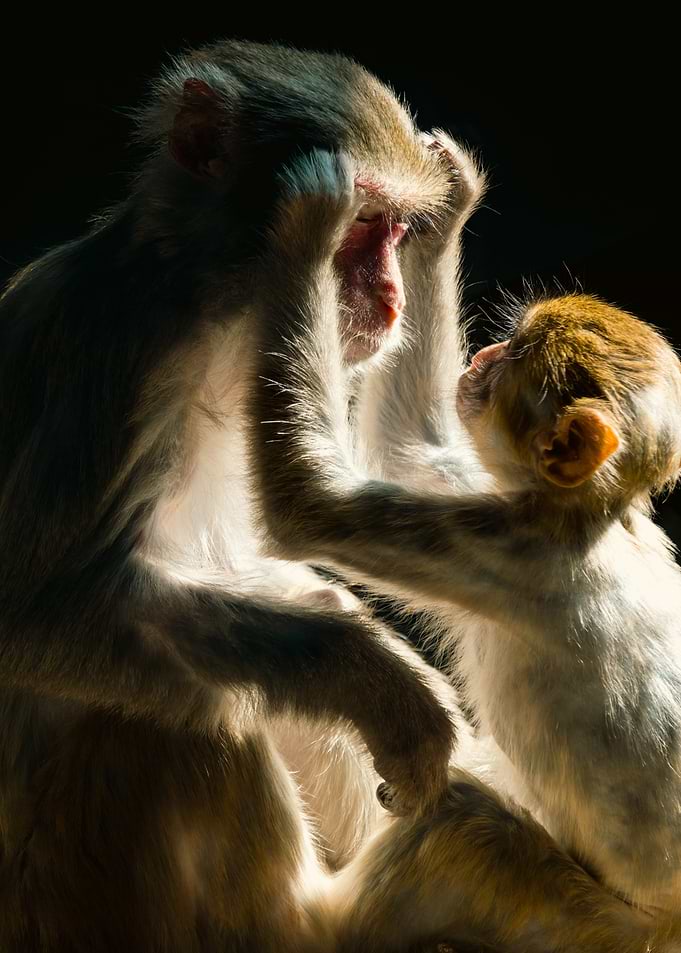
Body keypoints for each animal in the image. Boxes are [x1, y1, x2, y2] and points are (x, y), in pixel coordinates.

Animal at [249, 144, 681, 948]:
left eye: (514, 359)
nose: (484, 356)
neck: (594, 516)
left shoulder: (509, 550)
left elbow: (309, 503)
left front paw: (309, 222)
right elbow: (406, 446)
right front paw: (448, 201)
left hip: (595, 930)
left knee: (459, 828)